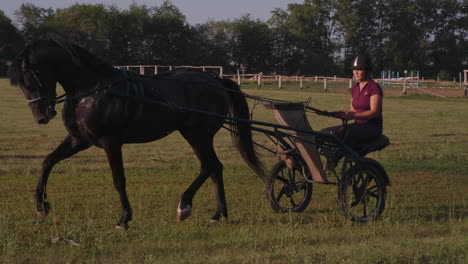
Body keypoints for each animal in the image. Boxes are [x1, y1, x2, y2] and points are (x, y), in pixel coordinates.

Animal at [7, 39, 266, 229]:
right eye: (21, 84)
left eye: (31, 79)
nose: (42, 116)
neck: (93, 90)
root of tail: (215, 79)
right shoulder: (79, 140)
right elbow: (47, 161)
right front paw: (41, 206)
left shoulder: (111, 142)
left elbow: (118, 179)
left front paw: (124, 219)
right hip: (195, 135)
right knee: (213, 168)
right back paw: (217, 213)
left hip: (198, 135)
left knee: (210, 166)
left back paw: (186, 206)